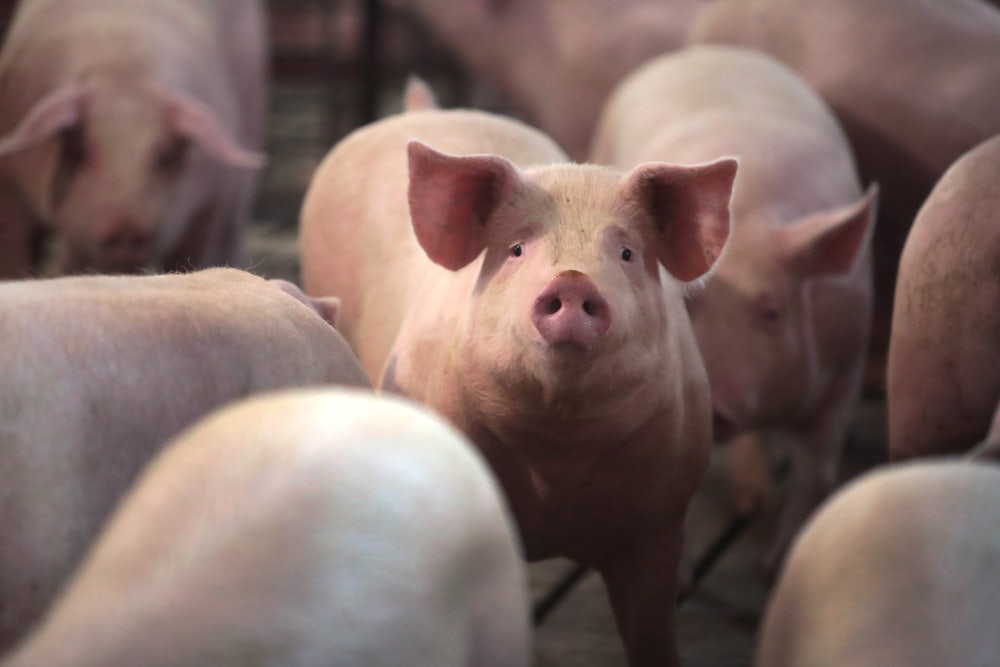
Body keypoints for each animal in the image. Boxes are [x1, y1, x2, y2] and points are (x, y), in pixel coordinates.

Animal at [0, 0, 267, 277]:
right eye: (81, 151)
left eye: (163, 156)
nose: (126, 231)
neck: (124, 74)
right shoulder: (9, 191)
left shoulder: (210, 203)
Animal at [300, 99, 737, 666]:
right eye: (515, 250)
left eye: (626, 254)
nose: (572, 281)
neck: (558, 454)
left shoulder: (658, 519)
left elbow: (651, 632)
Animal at [591, 45, 878, 578]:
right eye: (687, 307)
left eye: (774, 312)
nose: (718, 405)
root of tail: (702, 53)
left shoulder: (846, 364)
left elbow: (818, 474)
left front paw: (774, 571)